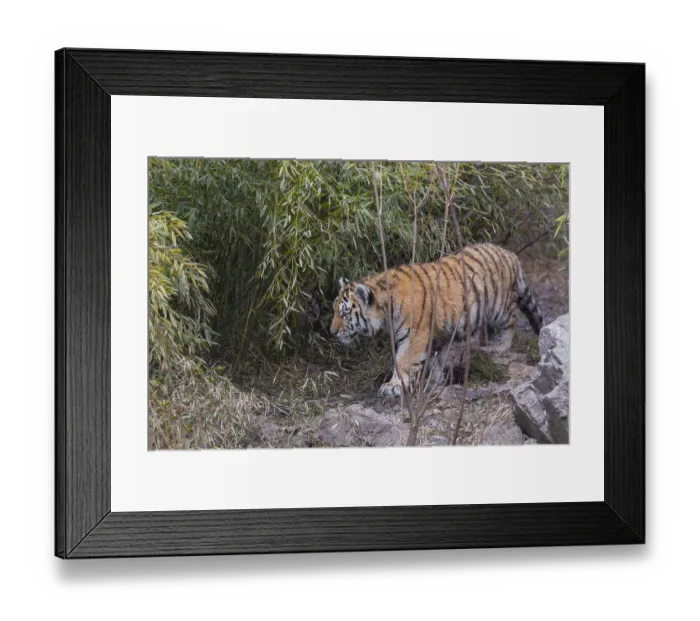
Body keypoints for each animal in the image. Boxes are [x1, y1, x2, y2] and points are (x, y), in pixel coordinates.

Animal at [330, 242, 544, 397]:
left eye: (345, 313)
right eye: (335, 311)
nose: (332, 331)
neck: (386, 308)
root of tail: (510, 254)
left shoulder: (414, 336)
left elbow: (403, 362)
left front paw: (393, 386)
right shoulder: (437, 334)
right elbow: (436, 360)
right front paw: (435, 381)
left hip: (499, 307)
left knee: (510, 323)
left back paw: (499, 346)